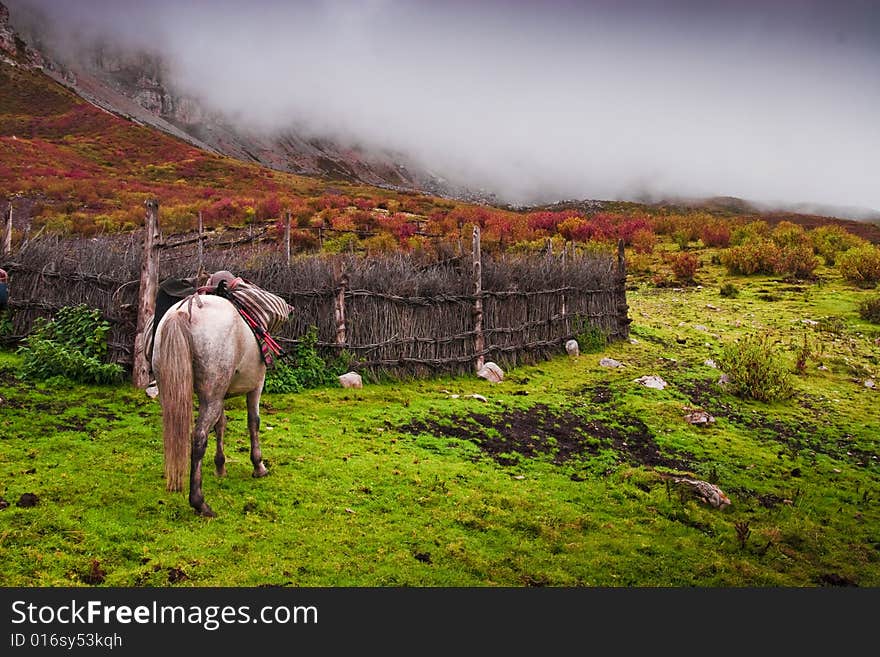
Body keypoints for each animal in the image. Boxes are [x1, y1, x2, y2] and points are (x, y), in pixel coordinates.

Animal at [151, 294, 268, 516]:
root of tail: (185, 311)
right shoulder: (256, 386)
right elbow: (253, 422)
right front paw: (258, 466)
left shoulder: (220, 396)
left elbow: (220, 425)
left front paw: (220, 467)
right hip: (212, 396)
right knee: (198, 438)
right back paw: (199, 502)